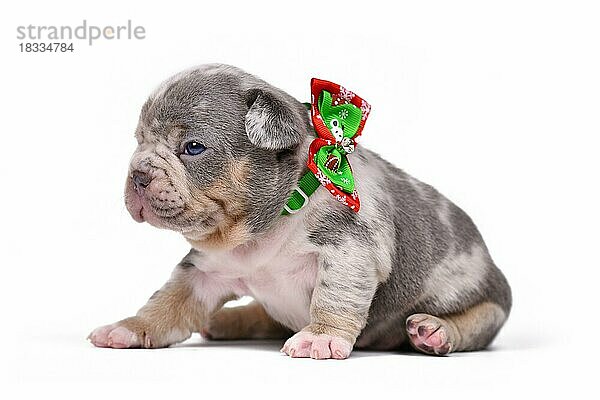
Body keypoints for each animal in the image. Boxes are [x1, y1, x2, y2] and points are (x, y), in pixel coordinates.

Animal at [88, 64, 510, 358]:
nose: (138, 172)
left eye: (192, 147)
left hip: (486, 302)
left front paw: (319, 338)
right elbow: (166, 301)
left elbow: (333, 296)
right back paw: (227, 319)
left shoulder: (350, 251)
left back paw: (434, 332)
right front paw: (127, 328)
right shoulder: (202, 272)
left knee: (478, 322)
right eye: (139, 142)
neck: (265, 228)